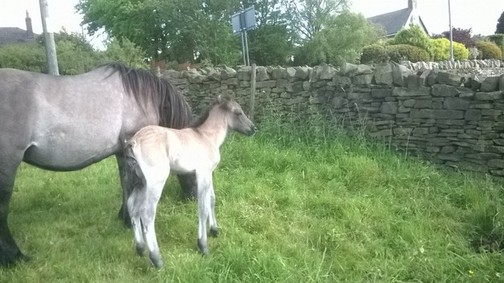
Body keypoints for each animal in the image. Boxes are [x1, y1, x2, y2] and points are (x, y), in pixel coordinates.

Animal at [0, 63, 198, 268]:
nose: (192, 199)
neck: (143, 98)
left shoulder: (123, 151)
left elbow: (126, 185)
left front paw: (126, 219)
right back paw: (14, 257)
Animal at [122, 95, 256, 268]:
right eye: (238, 112)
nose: (253, 129)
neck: (206, 137)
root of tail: (134, 141)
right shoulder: (202, 174)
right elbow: (202, 207)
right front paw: (203, 246)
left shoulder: (209, 173)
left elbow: (212, 200)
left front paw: (214, 230)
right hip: (155, 182)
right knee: (147, 213)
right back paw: (157, 259)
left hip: (141, 182)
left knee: (133, 206)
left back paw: (140, 248)